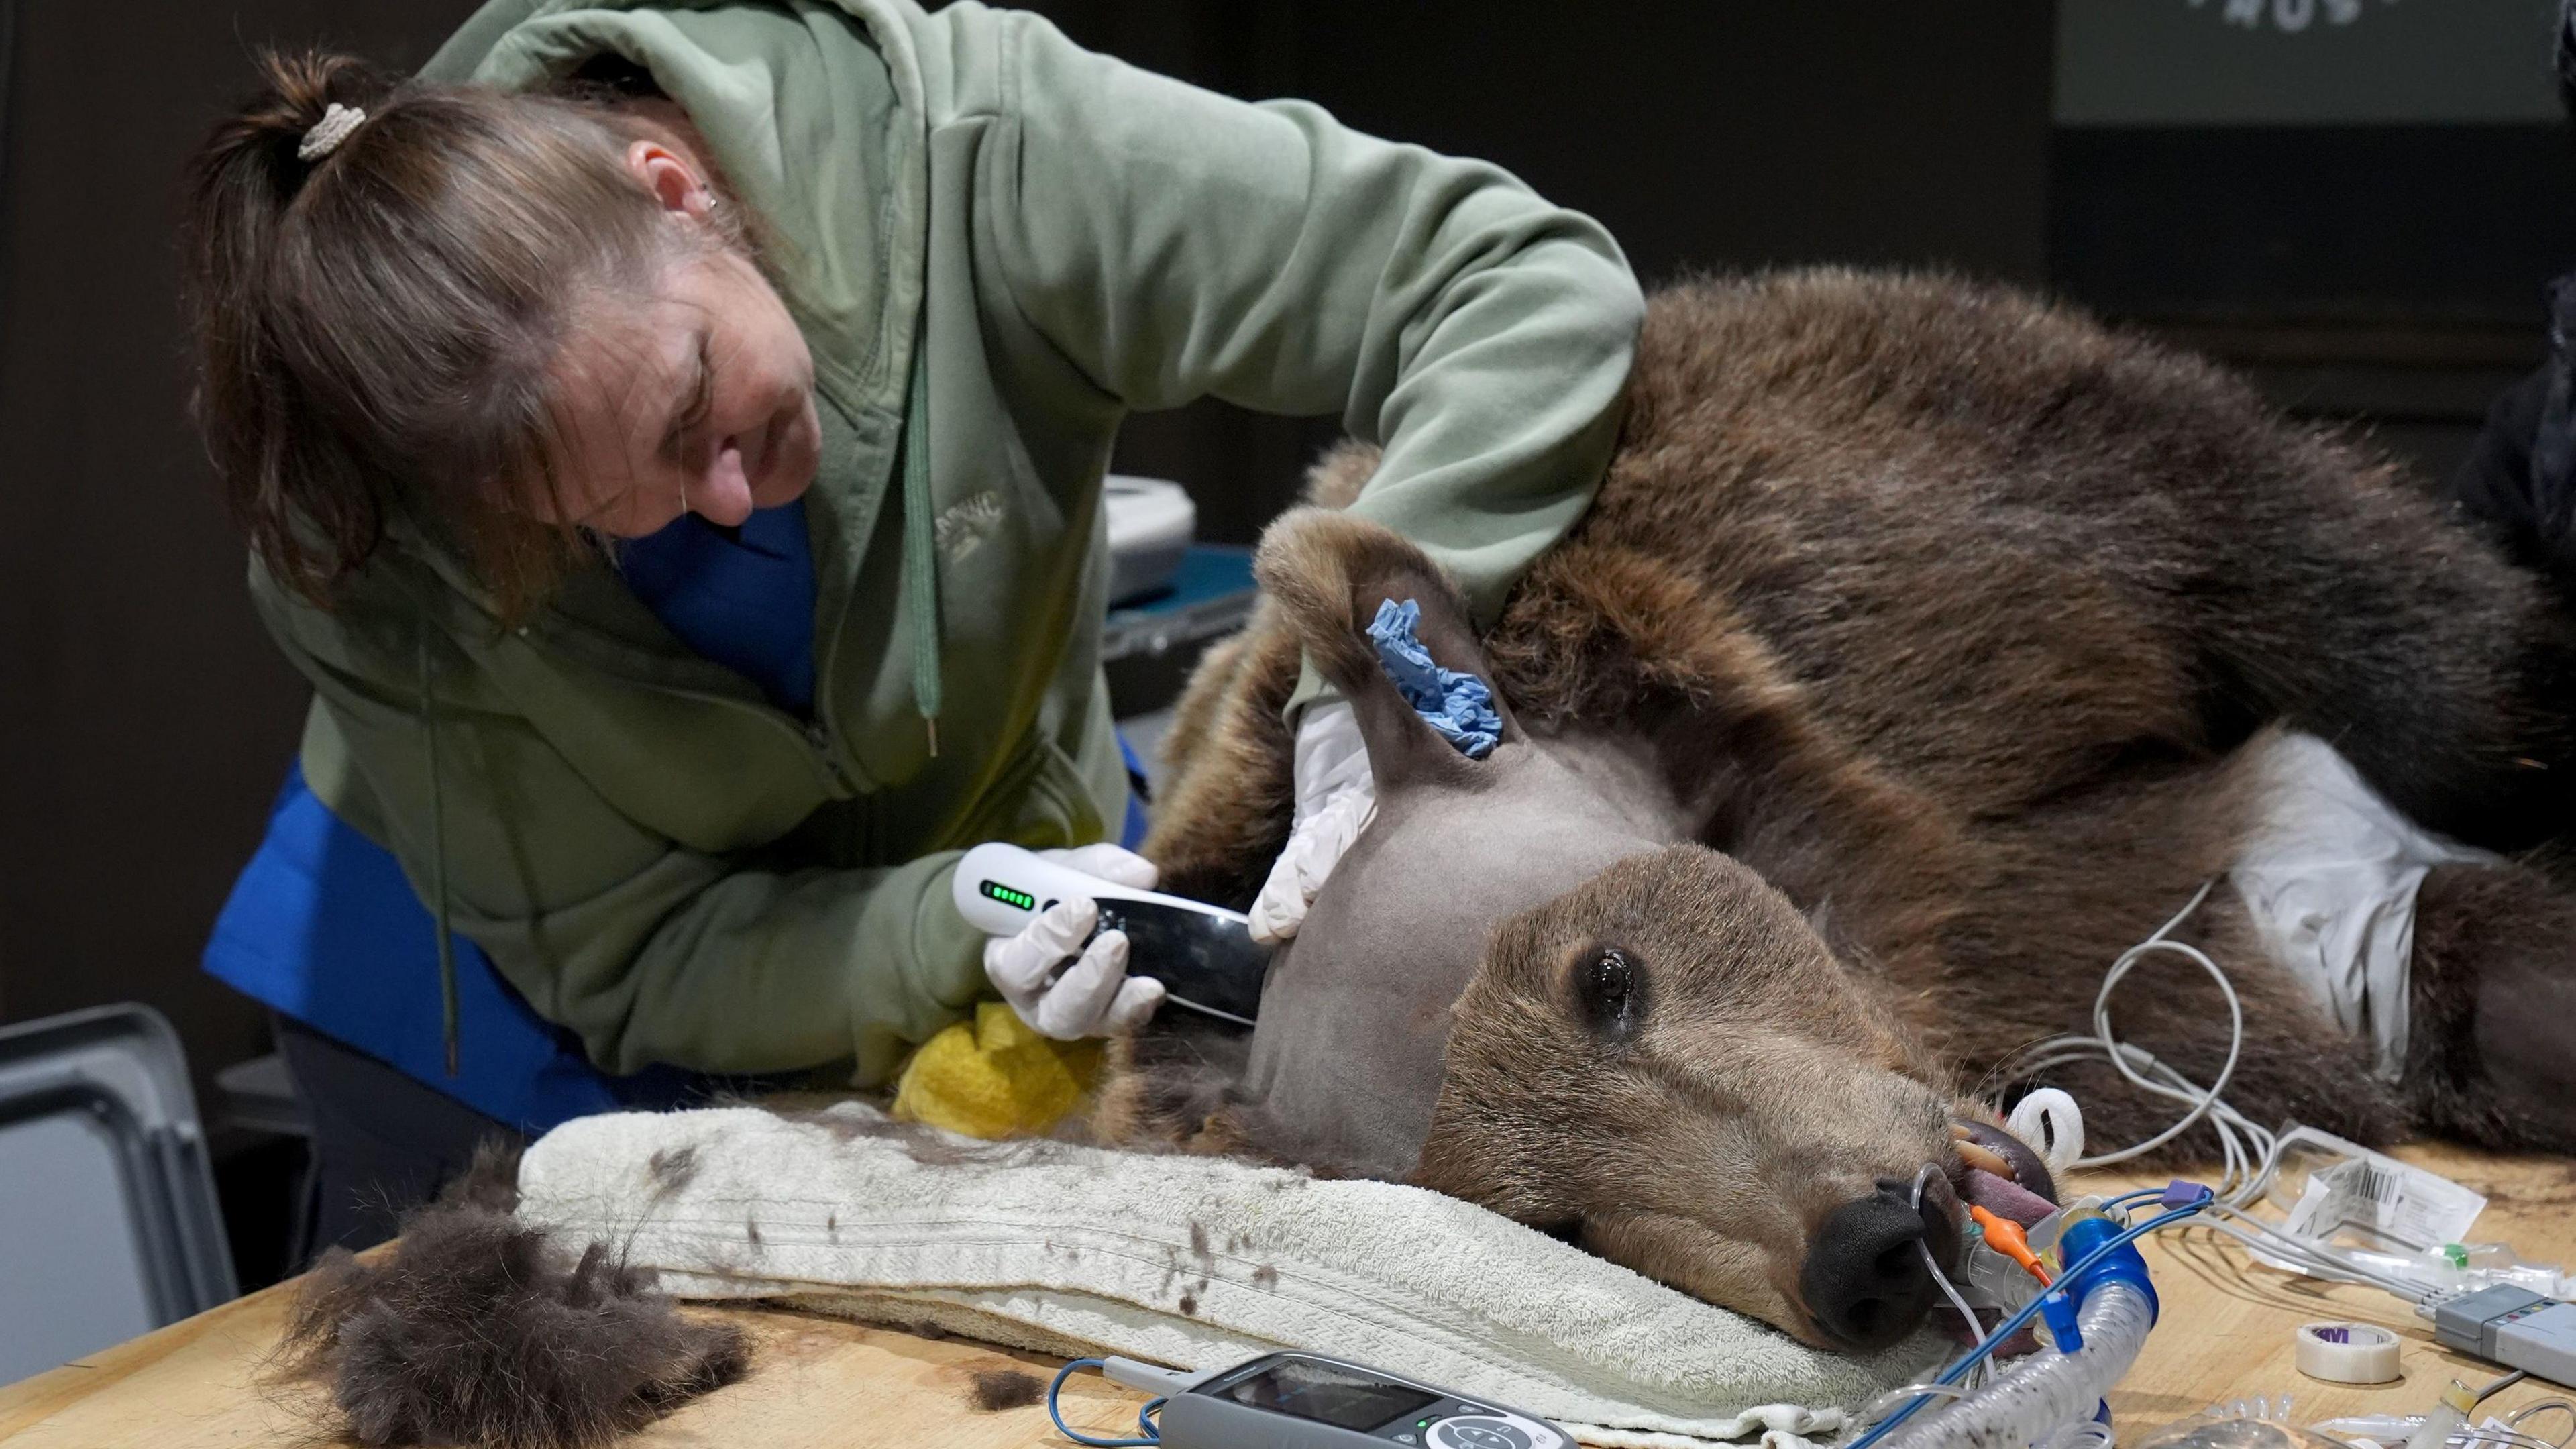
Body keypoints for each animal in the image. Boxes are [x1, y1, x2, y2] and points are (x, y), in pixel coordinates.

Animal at [1097, 270, 2576, 1350]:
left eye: (1607, 980)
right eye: (1556, 1223)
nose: (1867, 1255)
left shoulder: (1971, 550)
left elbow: (2405, 643)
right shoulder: (2183, 946)